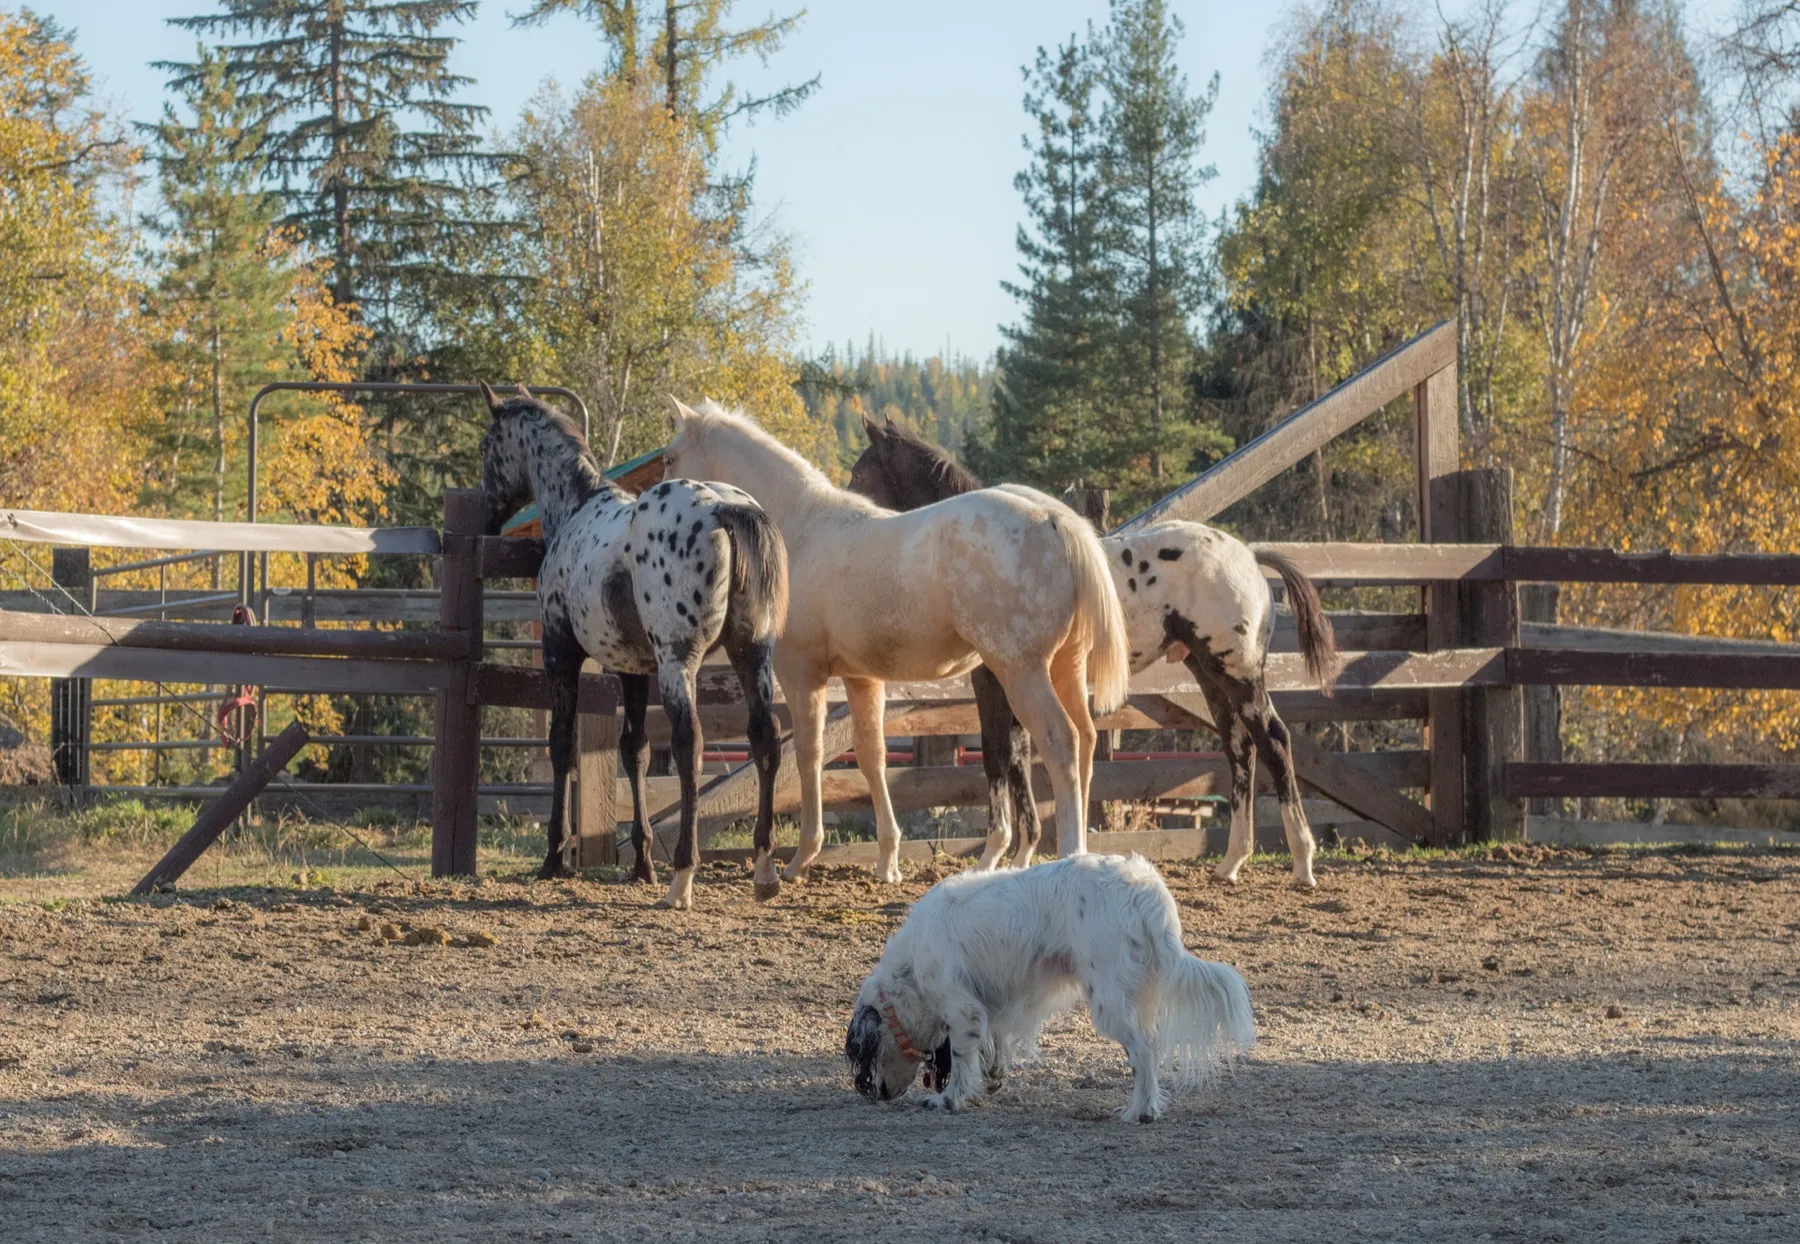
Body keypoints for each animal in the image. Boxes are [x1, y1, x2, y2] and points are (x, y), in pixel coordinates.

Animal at [477, 384, 788, 908]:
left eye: (486, 447)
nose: (486, 516)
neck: (577, 510)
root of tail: (724, 508)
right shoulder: (633, 671)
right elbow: (635, 751)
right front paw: (641, 863)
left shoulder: (561, 655)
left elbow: (562, 746)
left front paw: (554, 857)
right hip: (753, 656)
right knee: (764, 736)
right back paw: (763, 870)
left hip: (679, 661)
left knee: (689, 744)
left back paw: (682, 875)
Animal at [661, 398, 1130, 883]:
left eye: (670, 459)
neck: (800, 527)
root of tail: (1055, 520)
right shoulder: (862, 679)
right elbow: (873, 756)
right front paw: (888, 861)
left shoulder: (801, 673)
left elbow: (808, 755)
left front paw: (802, 856)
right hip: (1063, 667)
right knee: (1087, 739)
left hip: (1022, 672)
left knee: (1061, 742)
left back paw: (1069, 854)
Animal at [848, 416, 1338, 889]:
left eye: (859, 471)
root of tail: (1250, 556)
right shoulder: (1016, 678)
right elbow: (1020, 757)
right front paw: (1023, 856)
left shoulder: (995, 679)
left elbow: (997, 755)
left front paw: (991, 857)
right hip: (1208, 673)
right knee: (1240, 748)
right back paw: (1232, 862)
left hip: (1238, 671)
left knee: (1274, 740)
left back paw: (1302, 862)